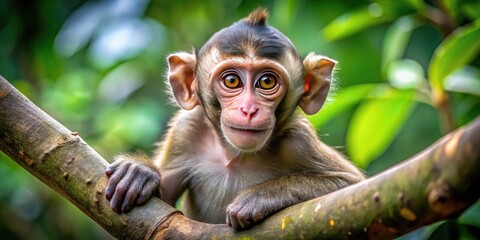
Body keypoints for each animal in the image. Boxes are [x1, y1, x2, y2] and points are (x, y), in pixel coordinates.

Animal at [104, 7, 364, 231]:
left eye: (267, 82)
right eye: (232, 81)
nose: (248, 109)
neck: (234, 155)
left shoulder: (299, 141)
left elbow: (350, 185)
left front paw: (260, 197)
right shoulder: (185, 130)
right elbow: (163, 212)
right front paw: (139, 172)